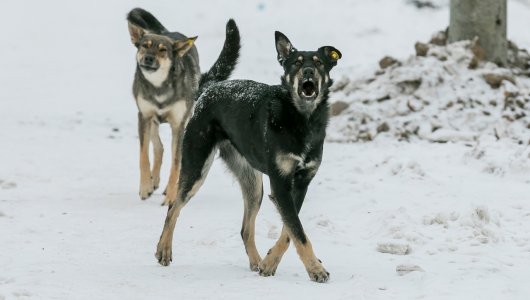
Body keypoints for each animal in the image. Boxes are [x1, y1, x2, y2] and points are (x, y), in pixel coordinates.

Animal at [127, 7, 238, 204]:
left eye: (163, 50)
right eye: (144, 46)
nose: (148, 59)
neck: (160, 87)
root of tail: (168, 32)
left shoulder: (178, 124)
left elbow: (176, 162)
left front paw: (171, 195)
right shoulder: (144, 116)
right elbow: (144, 155)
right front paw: (145, 187)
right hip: (150, 120)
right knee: (158, 147)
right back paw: (154, 181)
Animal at [155, 31, 340, 282]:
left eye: (319, 62)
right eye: (297, 63)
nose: (309, 72)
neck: (302, 118)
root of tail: (208, 89)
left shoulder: (300, 184)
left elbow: (290, 231)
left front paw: (270, 263)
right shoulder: (280, 185)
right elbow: (298, 232)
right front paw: (315, 269)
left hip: (253, 185)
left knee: (245, 230)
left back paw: (257, 261)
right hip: (196, 168)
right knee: (173, 208)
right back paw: (163, 249)